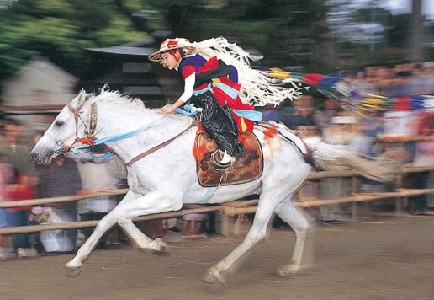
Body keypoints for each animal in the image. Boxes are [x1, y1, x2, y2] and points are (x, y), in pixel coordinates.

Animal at [32, 89, 396, 284]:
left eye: (59, 122)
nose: (36, 154)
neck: (146, 142)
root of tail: (305, 144)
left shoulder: (169, 199)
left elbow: (120, 219)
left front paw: (155, 245)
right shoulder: (138, 193)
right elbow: (107, 220)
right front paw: (75, 263)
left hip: (271, 195)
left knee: (257, 233)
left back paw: (219, 270)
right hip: (283, 198)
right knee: (303, 226)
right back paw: (294, 267)